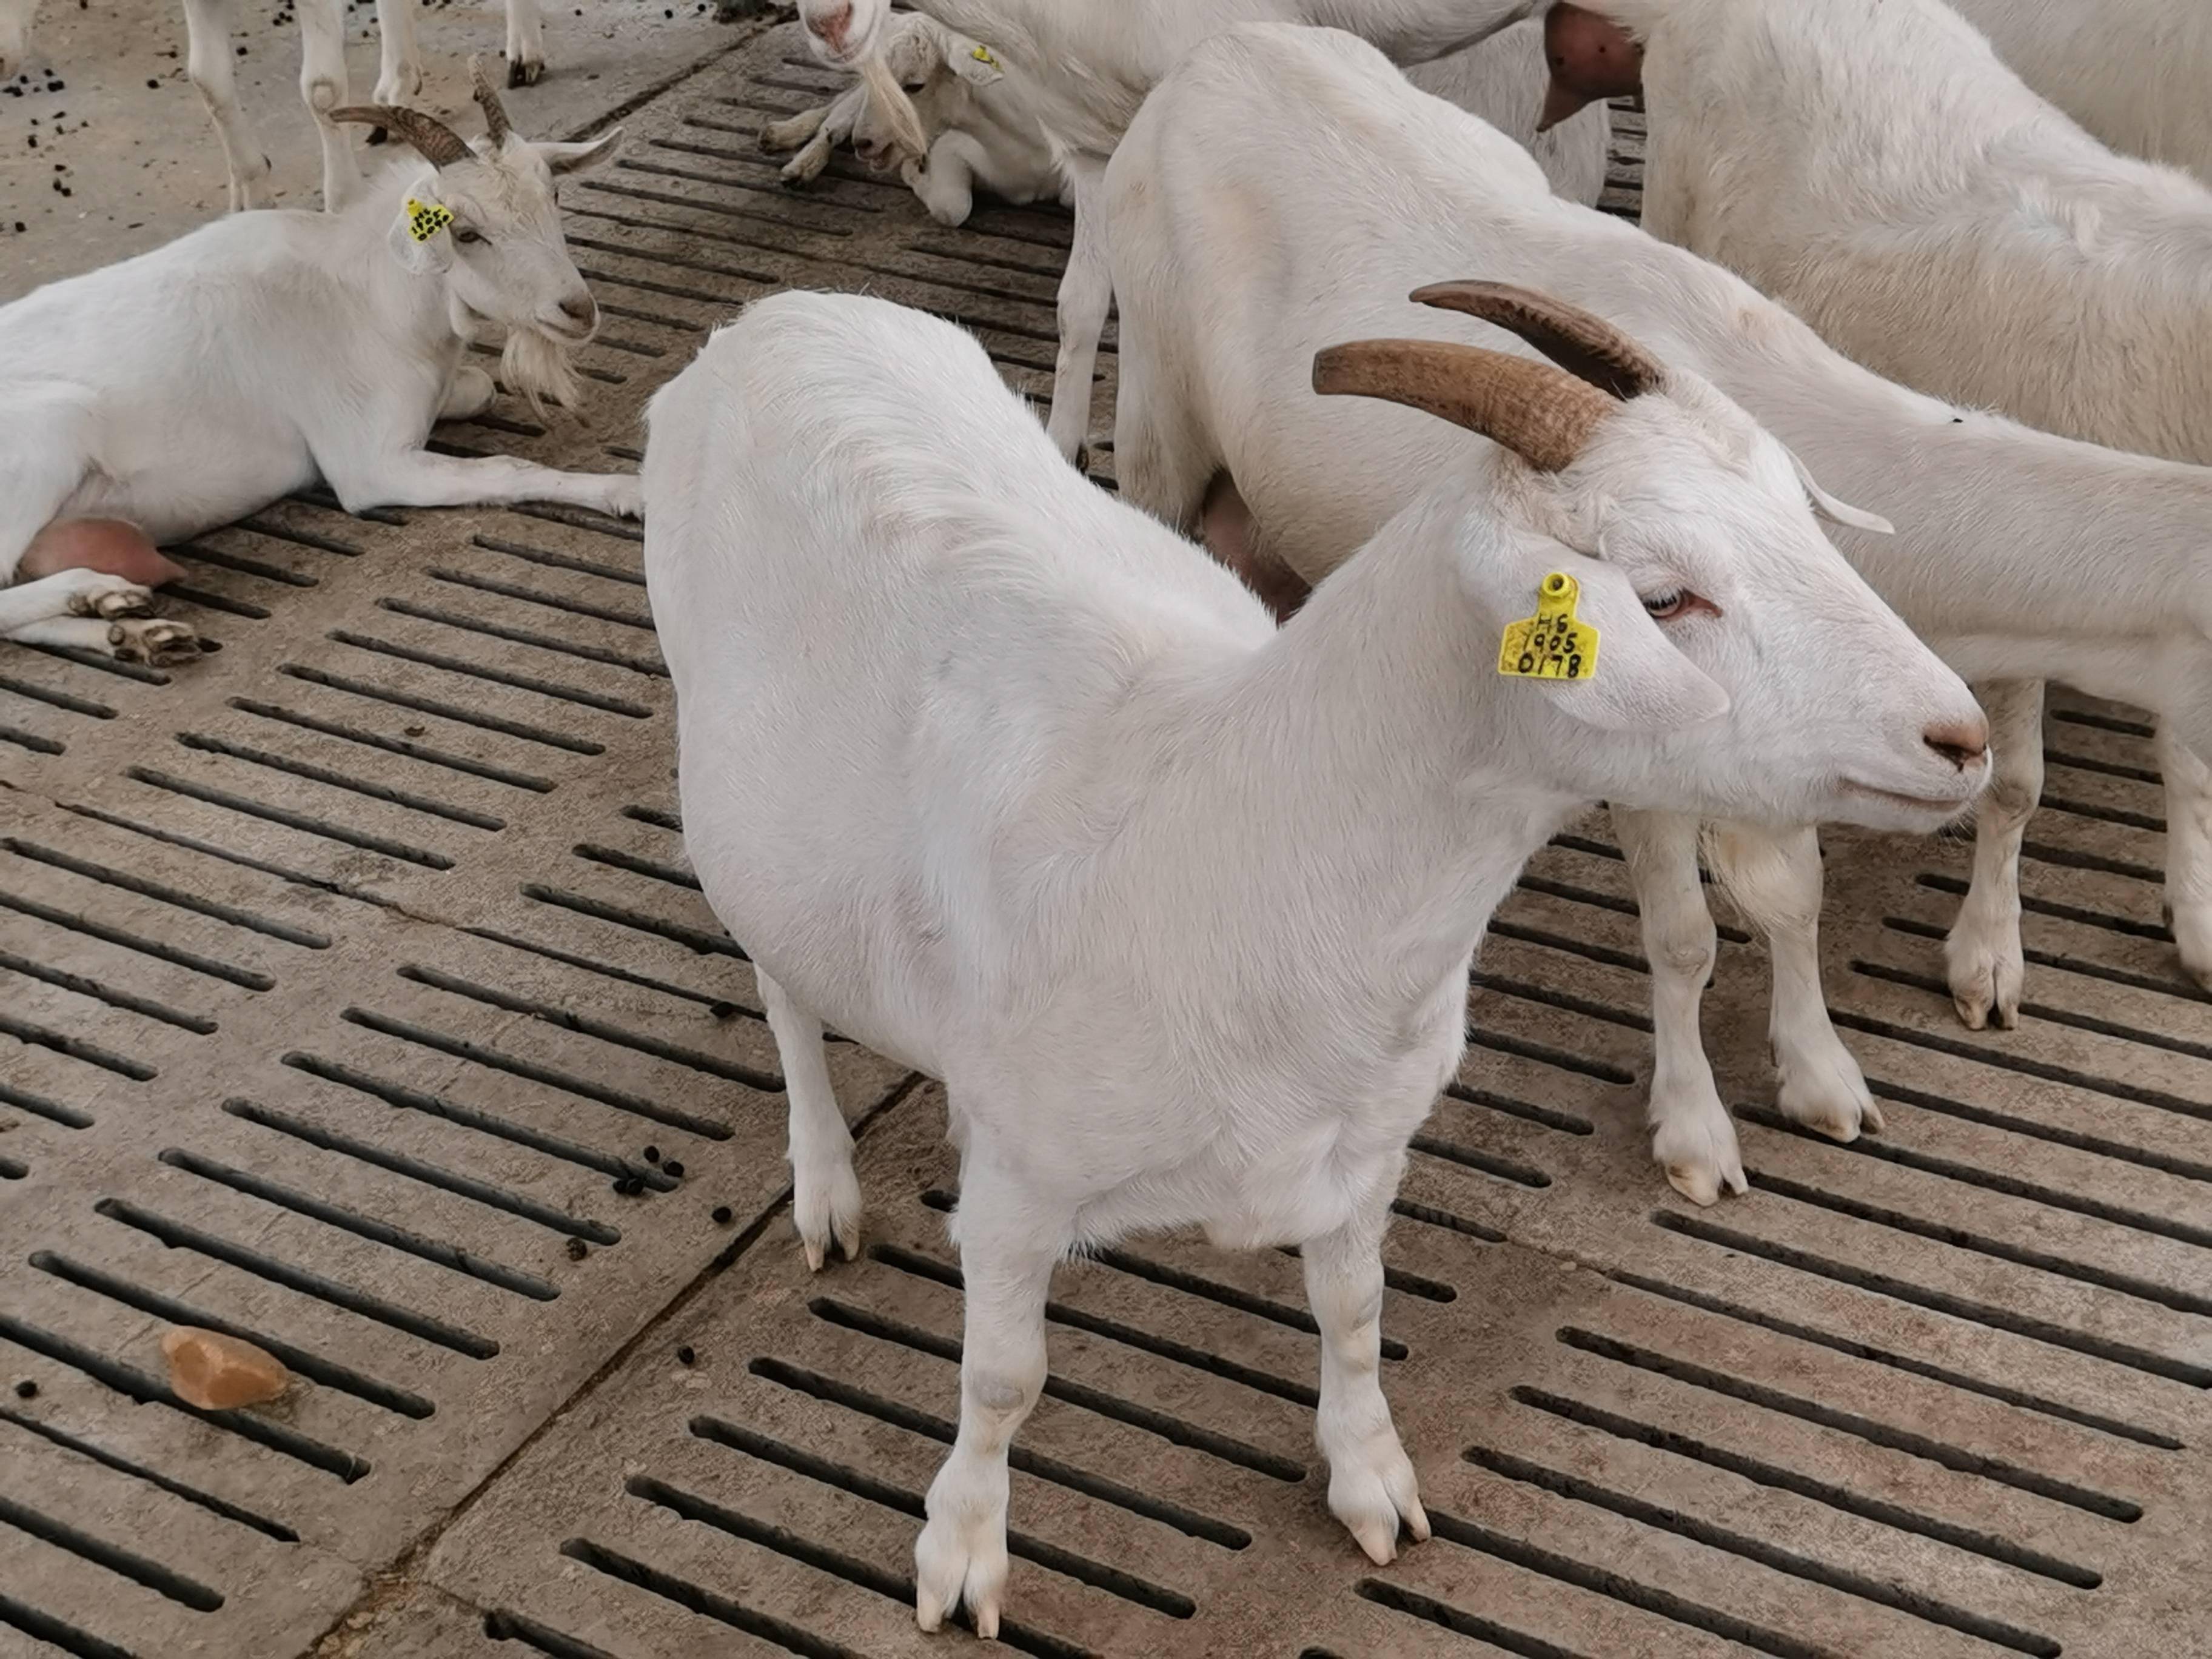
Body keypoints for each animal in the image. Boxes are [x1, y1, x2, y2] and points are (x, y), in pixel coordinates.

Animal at [2, 66, 641, 663]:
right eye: (466, 232)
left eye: (553, 197)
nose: (577, 310)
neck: (365, 296)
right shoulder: (370, 463)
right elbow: (507, 468)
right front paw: (625, 491)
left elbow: (481, 386)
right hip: (51, 431)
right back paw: (98, 590)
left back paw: (132, 630)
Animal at [641, 285, 1991, 1637]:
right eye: (1662, 598)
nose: (1962, 739)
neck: (1235, 845)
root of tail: (783, 316)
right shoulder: (1026, 1190)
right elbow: (1004, 1379)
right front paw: (960, 1554)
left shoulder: (1363, 1146)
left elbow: (1352, 1315)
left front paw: (1371, 1480)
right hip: (739, 812)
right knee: (781, 984)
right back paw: (824, 1183)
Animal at [760, 11, 1070, 227]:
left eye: (915, 85)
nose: (863, 143)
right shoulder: (951, 146)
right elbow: (952, 208)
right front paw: (914, 170)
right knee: (840, 114)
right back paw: (795, 157)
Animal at [1114, 19, 2212, 1203]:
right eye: (1659, 598)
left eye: (1799, 518)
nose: (1955, 738)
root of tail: (1232, 43)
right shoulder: (1644, 759)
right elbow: (1685, 938)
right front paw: (1695, 1134)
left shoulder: (1794, 746)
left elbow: (1795, 895)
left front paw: (1819, 1076)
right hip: (1154, 411)